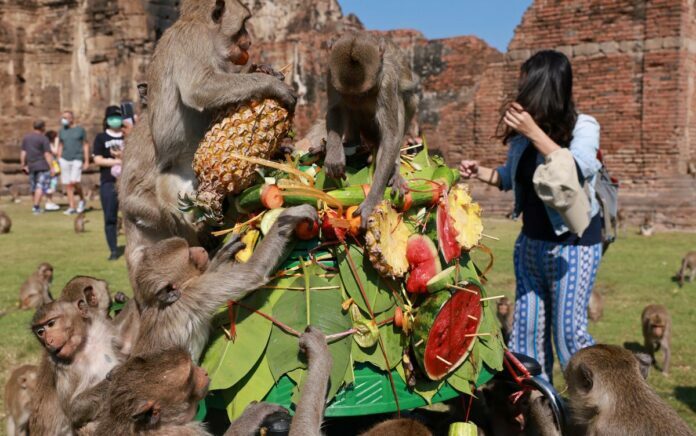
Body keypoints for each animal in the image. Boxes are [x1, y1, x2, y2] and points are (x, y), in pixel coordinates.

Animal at [130, 204, 316, 362]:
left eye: (189, 247)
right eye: (189, 255)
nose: (200, 249)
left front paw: (223, 253)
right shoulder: (194, 293)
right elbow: (253, 272)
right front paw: (288, 216)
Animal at [316, 31, 416, 227]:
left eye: (363, 93)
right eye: (348, 93)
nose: (355, 100)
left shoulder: (387, 82)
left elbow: (391, 136)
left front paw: (371, 201)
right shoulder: (330, 75)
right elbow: (335, 108)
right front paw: (334, 156)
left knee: (404, 100)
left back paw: (395, 170)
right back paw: (349, 143)